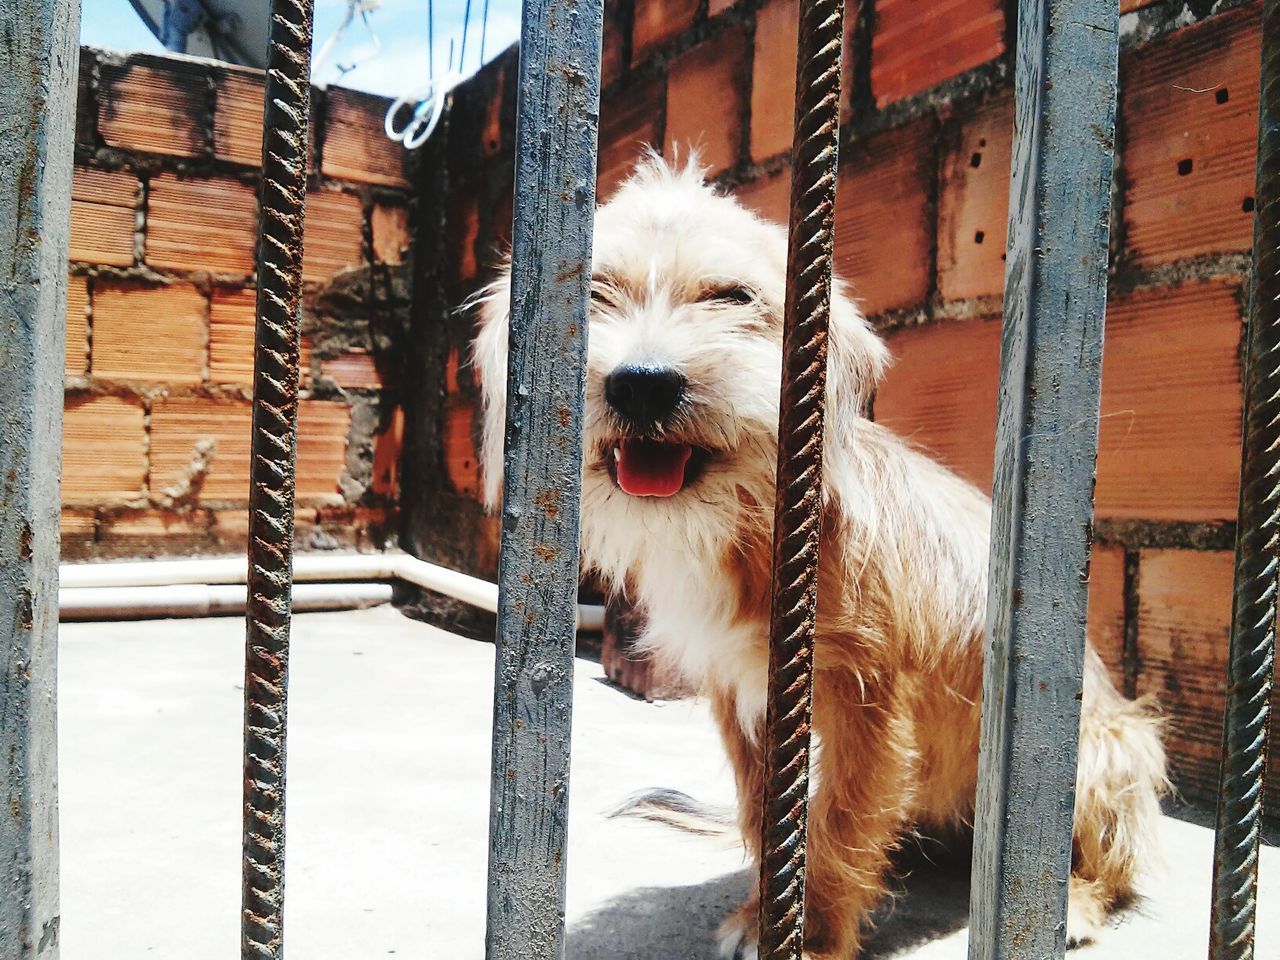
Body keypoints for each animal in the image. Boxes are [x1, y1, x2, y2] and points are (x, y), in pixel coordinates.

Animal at [473, 154, 1172, 957]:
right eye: (593, 292)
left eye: (733, 297)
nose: (641, 385)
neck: (754, 530)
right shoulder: (742, 697)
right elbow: (763, 808)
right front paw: (765, 912)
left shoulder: (867, 697)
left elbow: (840, 820)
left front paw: (814, 933)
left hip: (1102, 753)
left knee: (1107, 860)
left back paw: (1079, 903)